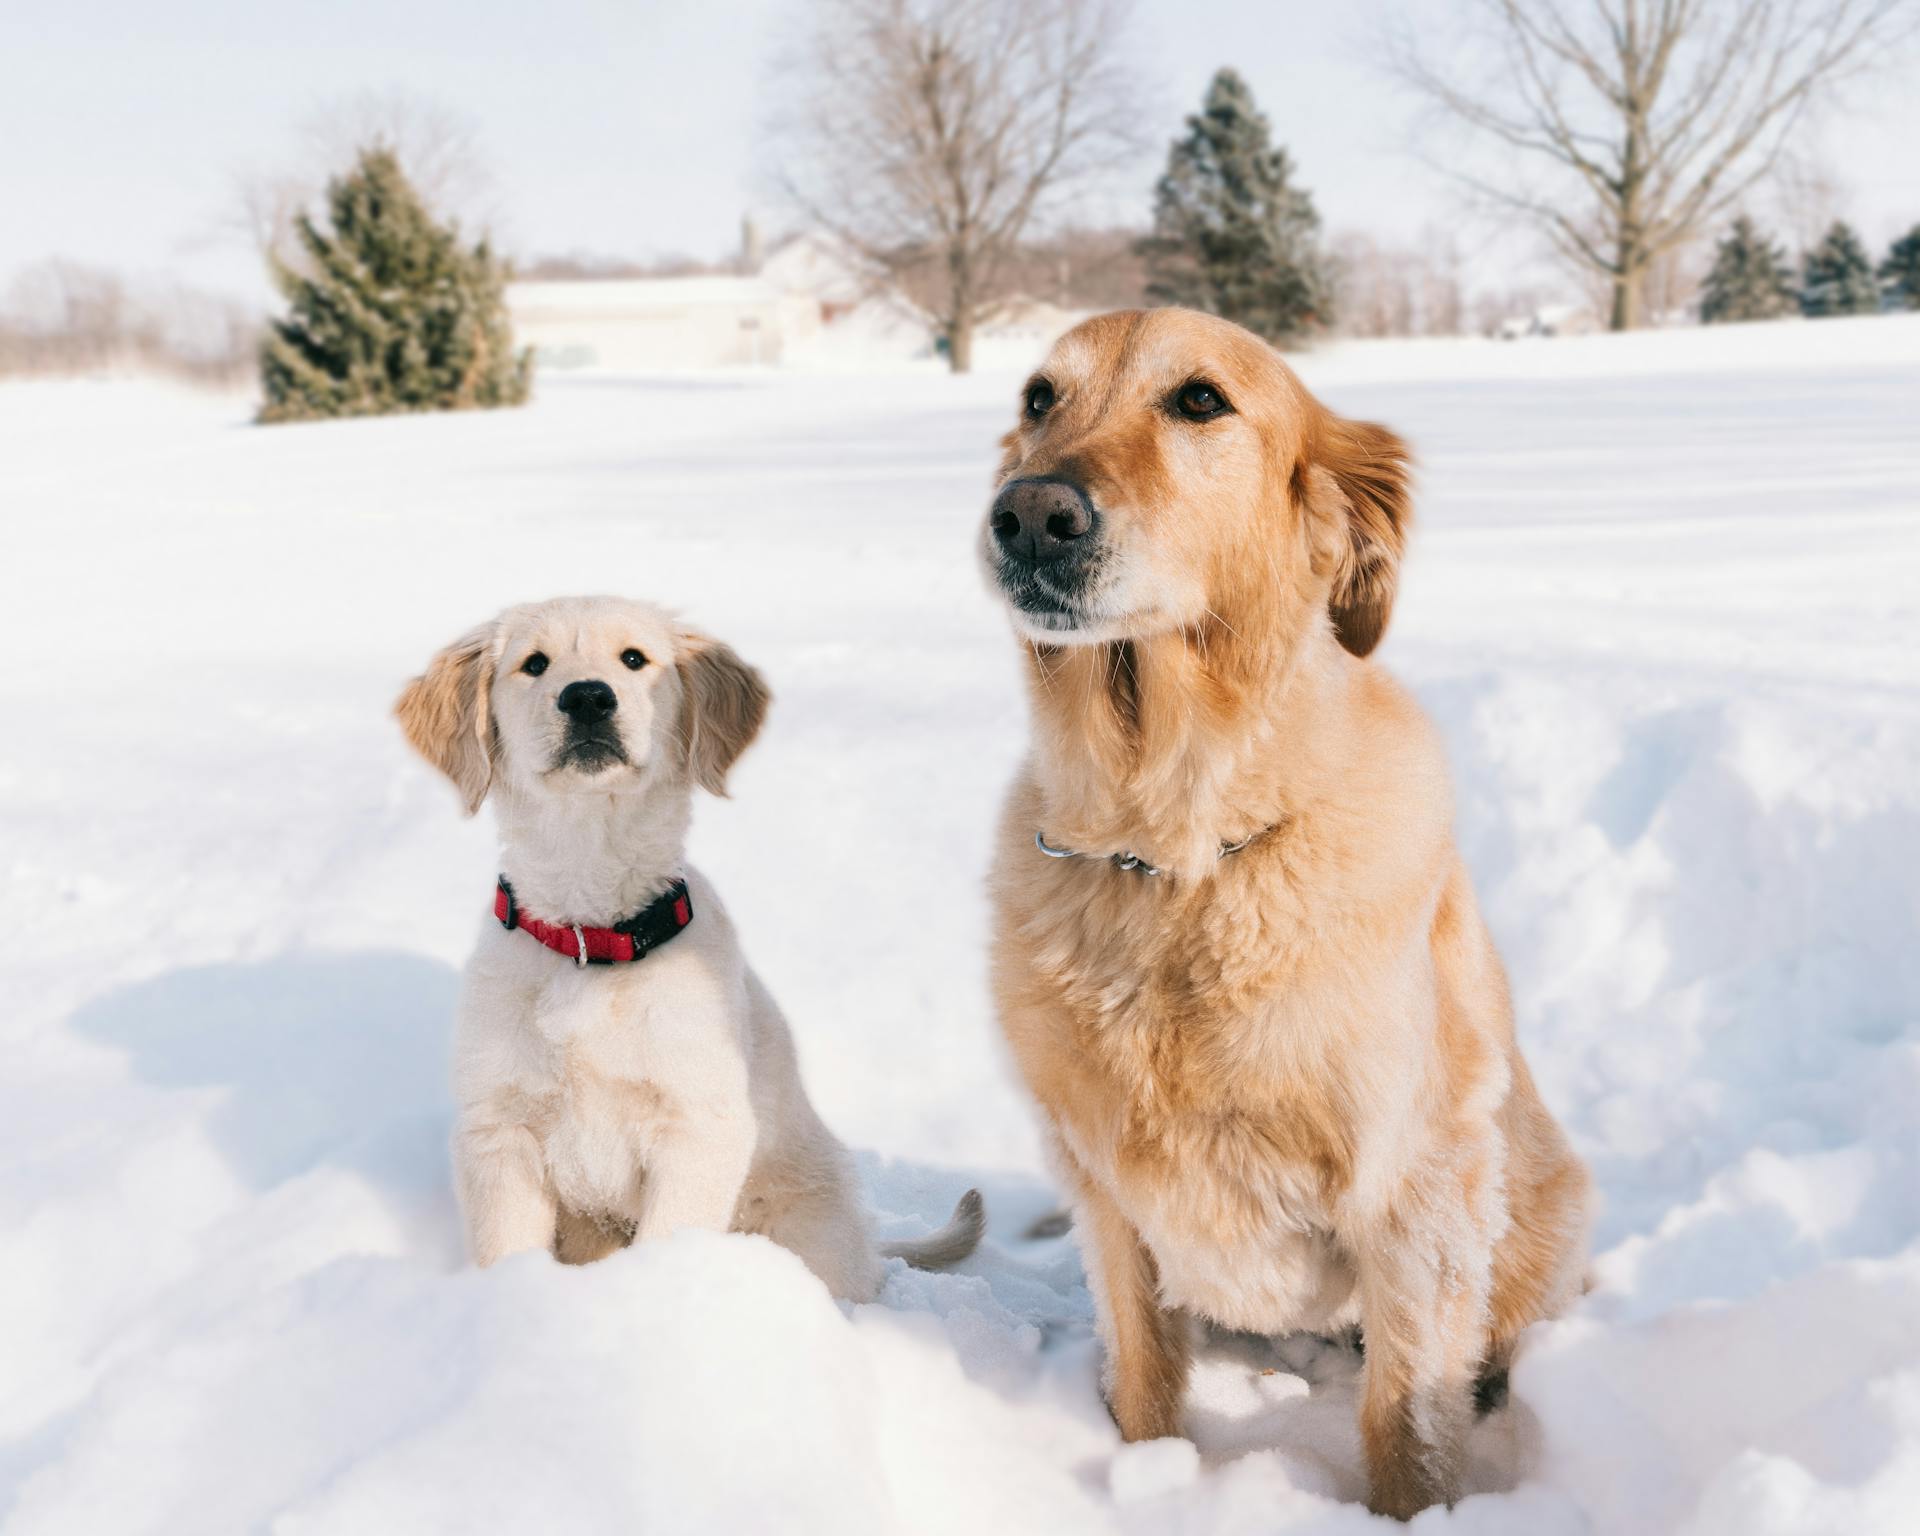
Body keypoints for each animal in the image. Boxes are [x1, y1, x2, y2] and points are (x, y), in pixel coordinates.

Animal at [397, 595, 983, 1297]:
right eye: (534, 664)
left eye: (634, 659)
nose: (588, 696)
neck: (593, 936)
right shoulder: (499, 1128)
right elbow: (506, 1247)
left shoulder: (700, 1127)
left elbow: (669, 1237)